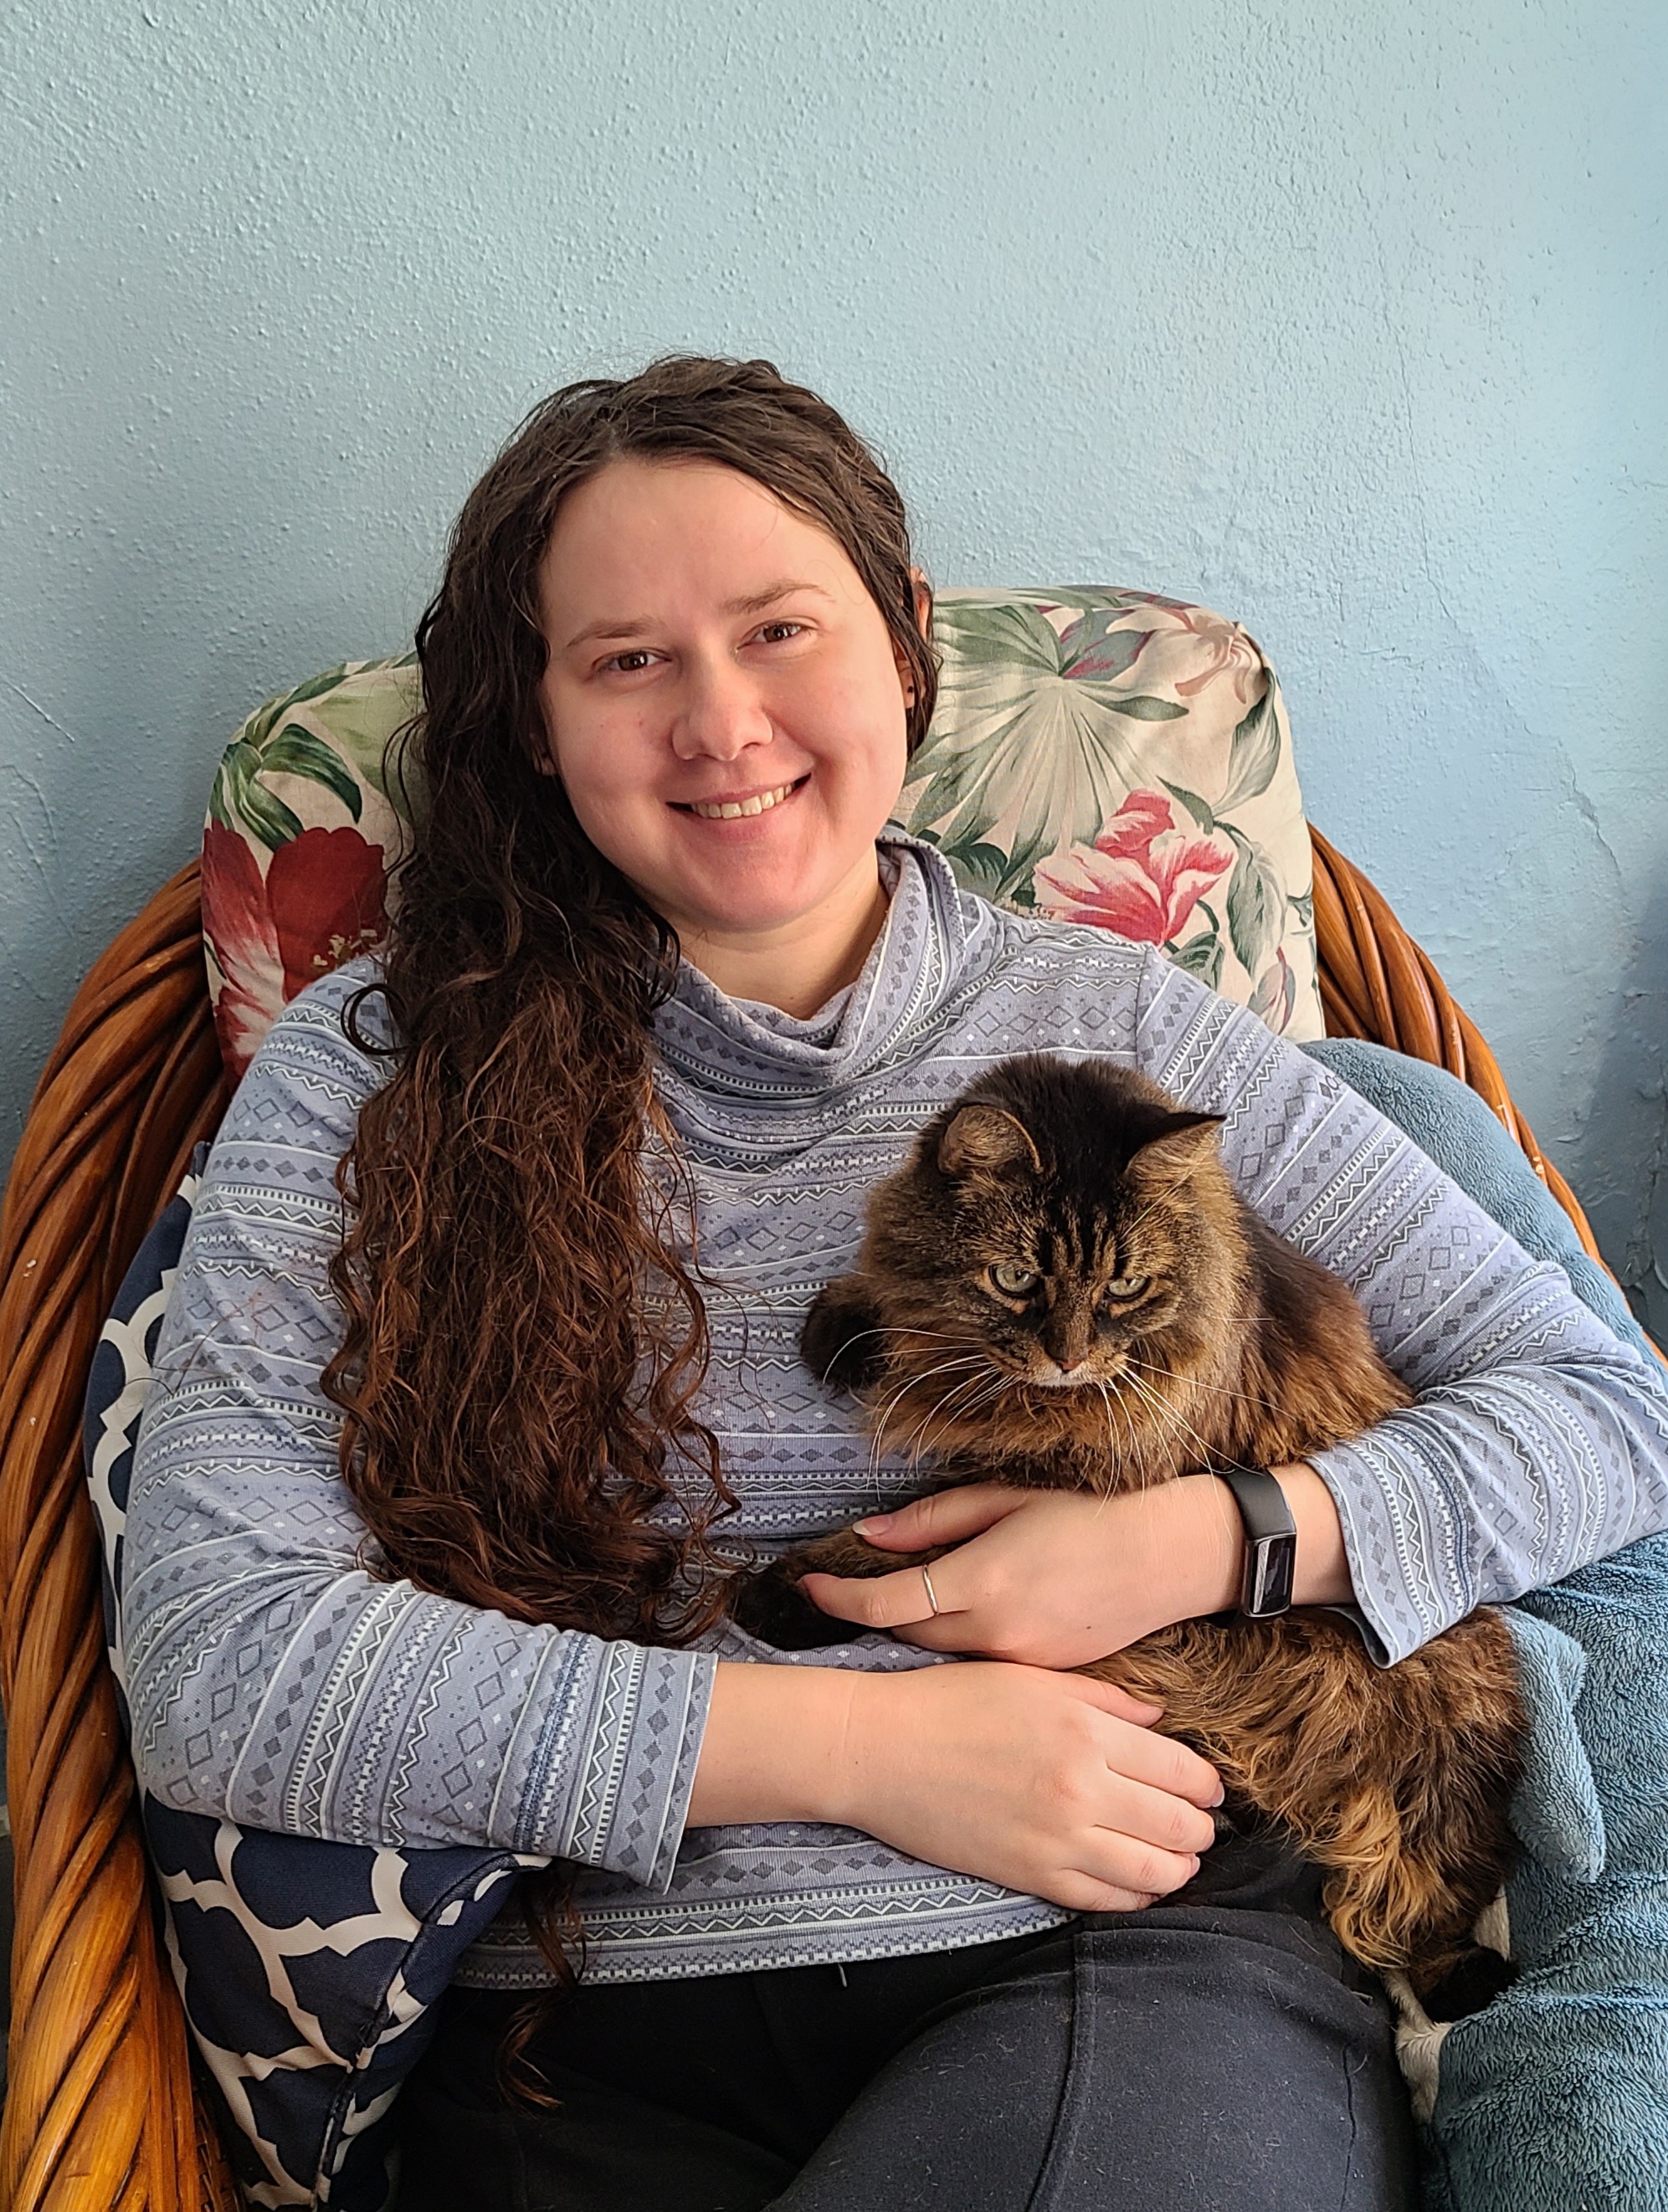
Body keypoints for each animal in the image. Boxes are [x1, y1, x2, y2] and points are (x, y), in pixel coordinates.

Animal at [738, 1044, 1522, 1999]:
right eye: (1016, 1279)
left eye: (1124, 1285)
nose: (1068, 1358)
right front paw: (857, 1324)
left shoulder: (1035, 1485)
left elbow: (887, 1545)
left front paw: (786, 1588)